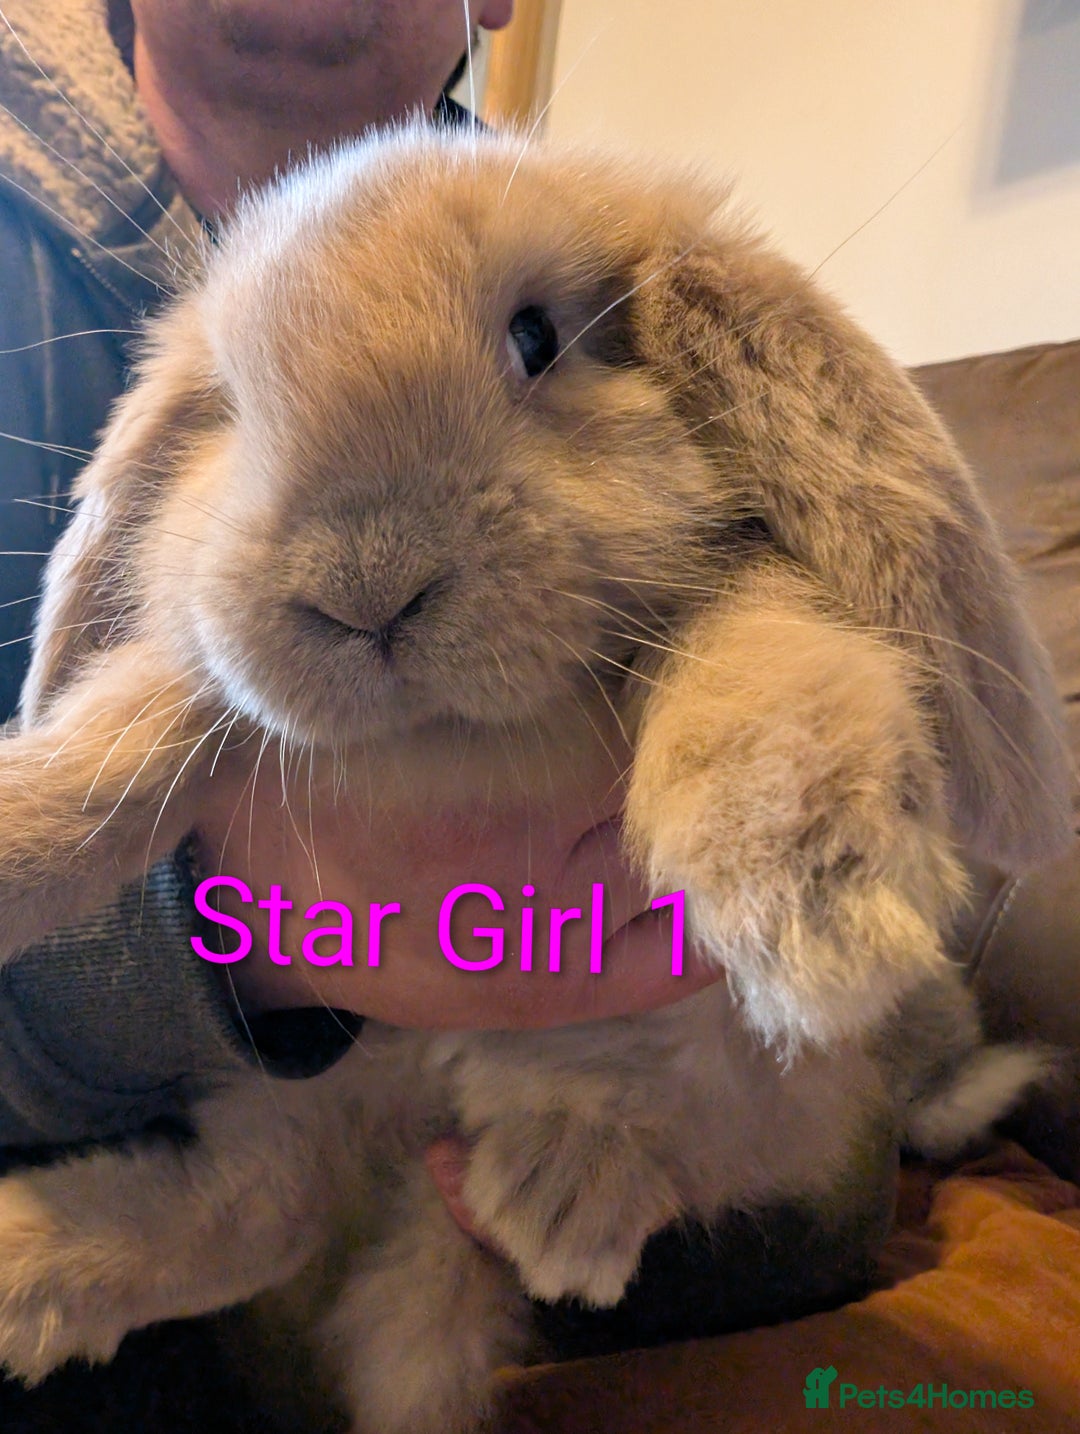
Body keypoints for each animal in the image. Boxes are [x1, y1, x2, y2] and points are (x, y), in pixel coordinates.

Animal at [0, 122, 1071, 1432]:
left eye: (535, 339)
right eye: (235, 410)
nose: (366, 588)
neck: (447, 741)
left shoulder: (744, 609)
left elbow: (764, 657)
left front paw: (813, 904)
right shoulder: (208, 687)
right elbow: (120, 740)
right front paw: (12, 842)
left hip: (725, 1116)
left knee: (701, 1132)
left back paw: (562, 1194)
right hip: (323, 1089)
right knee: (261, 1206)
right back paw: (30, 1269)